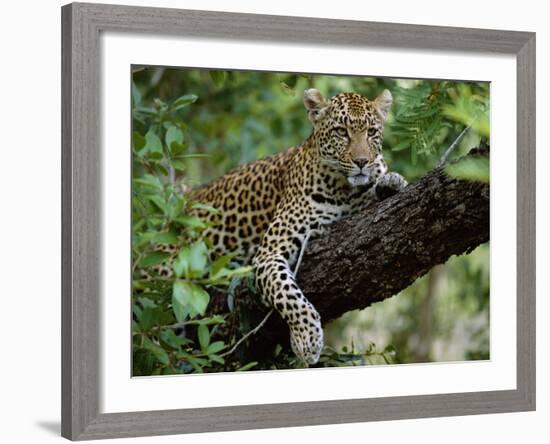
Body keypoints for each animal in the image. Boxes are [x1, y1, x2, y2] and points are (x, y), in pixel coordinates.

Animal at [153, 89, 408, 364]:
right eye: (341, 131)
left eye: (371, 132)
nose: (362, 161)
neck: (345, 190)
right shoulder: (269, 254)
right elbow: (289, 295)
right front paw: (307, 339)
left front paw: (391, 182)